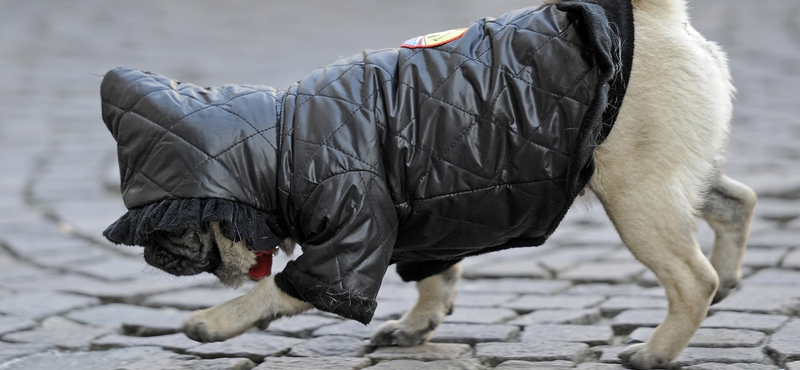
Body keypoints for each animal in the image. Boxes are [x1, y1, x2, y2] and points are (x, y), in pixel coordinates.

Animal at [101, 0, 756, 368]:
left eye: (164, 226)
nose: (154, 253)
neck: (280, 142)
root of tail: (655, 22)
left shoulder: (352, 240)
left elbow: (276, 291)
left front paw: (215, 321)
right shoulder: (432, 220)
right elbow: (435, 279)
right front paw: (418, 326)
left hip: (637, 197)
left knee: (690, 278)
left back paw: (657, 351)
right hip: (671, 177)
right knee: (736, 203)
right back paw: (728, 282)